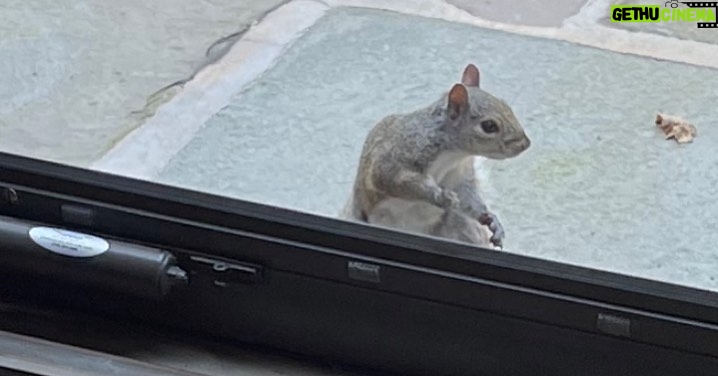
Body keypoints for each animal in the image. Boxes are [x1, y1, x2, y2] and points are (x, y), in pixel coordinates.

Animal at [340, 63, 532, 248]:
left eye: (506, 105)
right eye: (489, 126)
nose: (525, 144)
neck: (453, 156)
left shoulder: (459, 177)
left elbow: (468, 198)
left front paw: (491, 219)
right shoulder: (392, 159)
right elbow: (399, 181)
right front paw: (440, 196)